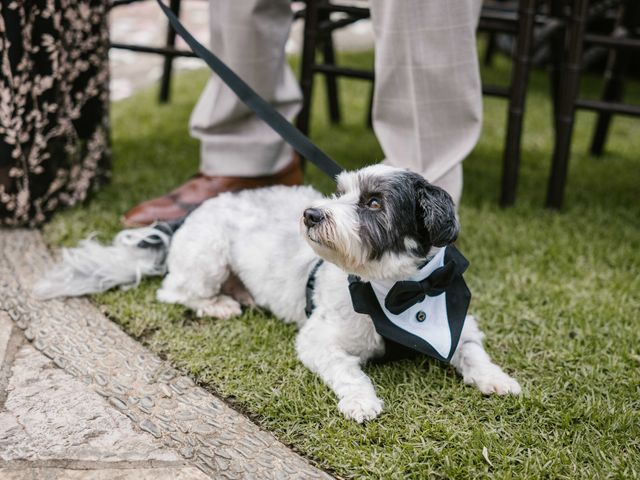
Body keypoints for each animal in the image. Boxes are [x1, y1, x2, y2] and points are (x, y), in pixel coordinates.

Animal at [36, 166, 520, 424]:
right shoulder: (319, 341)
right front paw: (361, 401)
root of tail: (190, 214)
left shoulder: (457, 324)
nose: (311, 214)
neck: (398, 290)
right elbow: (349, 373)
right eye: (340, 192)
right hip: (208, 256)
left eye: (374, 203)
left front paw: (496, 378)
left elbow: (473, 352)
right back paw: (220, 304)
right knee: (174, 292)